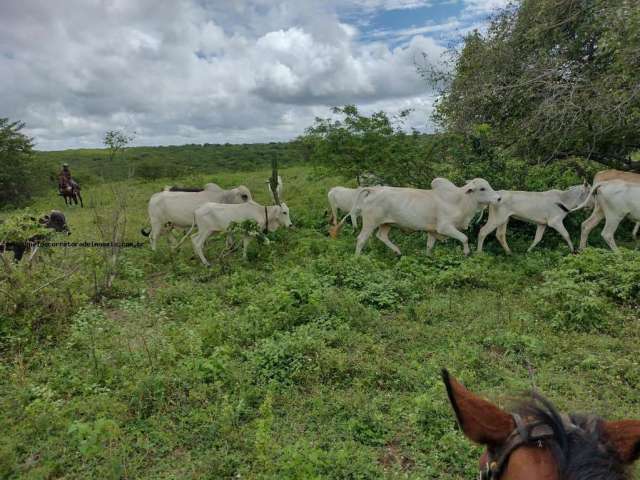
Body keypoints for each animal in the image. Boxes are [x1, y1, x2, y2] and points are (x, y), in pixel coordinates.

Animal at [336, 178, 500, 255]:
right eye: (482, 188)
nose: (498, 198)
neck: (459, 201)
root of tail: (373, 190)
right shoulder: (445, 227)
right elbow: (464, 238)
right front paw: (466, 252)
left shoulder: (432, 231)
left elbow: (429, 246)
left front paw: (428, 257)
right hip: (370, 223)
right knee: (361, 239)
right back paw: (357, 258)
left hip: (386, 224)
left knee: (382, 236)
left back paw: (397, 252)